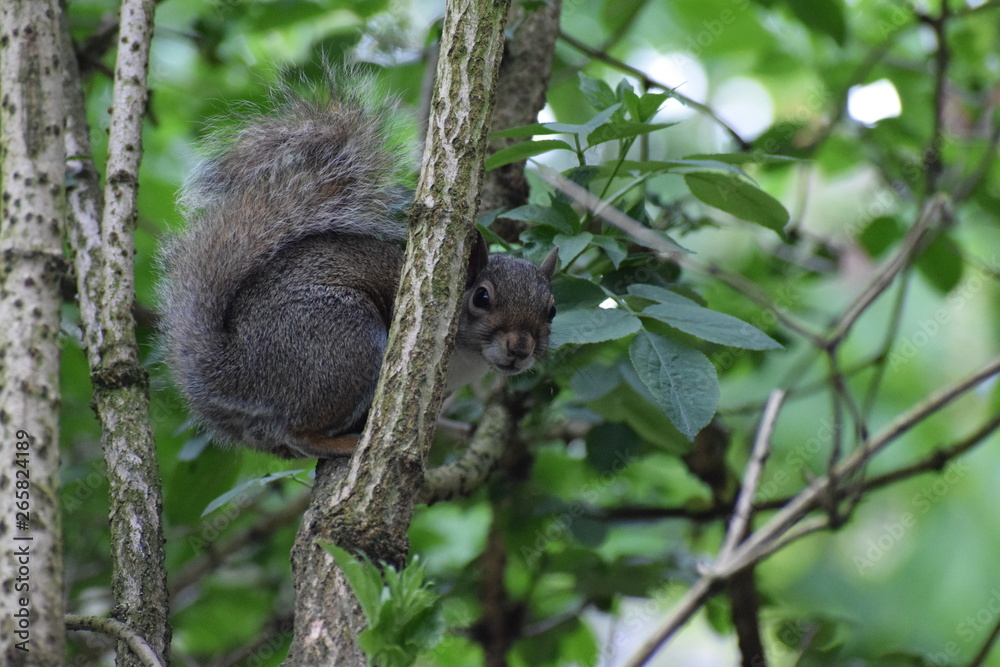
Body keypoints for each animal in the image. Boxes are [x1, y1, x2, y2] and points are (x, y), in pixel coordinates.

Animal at [159, 74, 559, 459]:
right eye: (482, 297)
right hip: (345, 341)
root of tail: (235, 372)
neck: (469, 360)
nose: (520, 347)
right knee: (300, 433)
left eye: (552, 310)